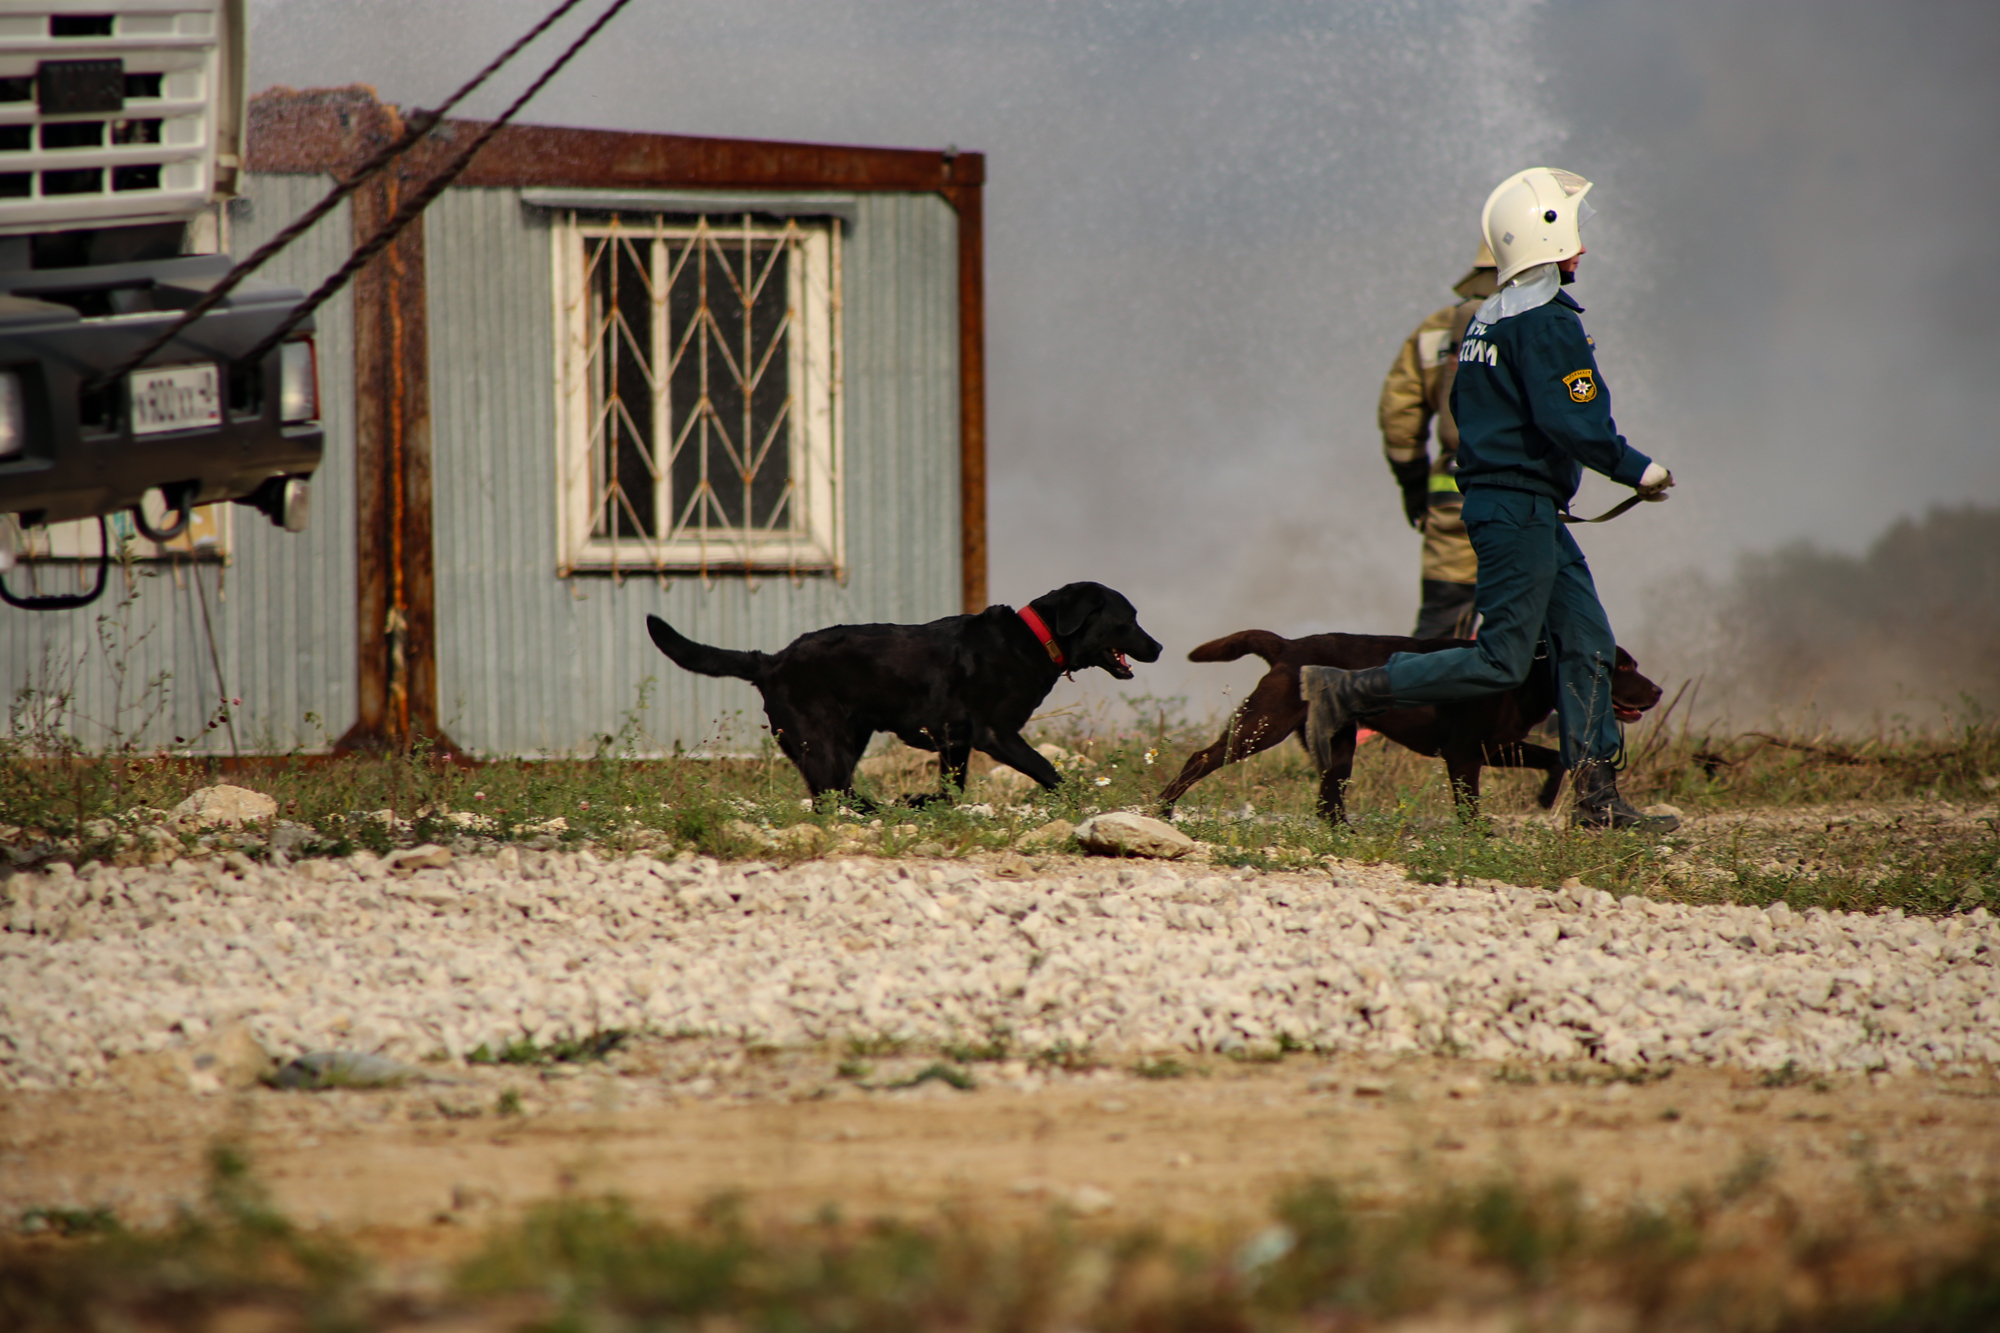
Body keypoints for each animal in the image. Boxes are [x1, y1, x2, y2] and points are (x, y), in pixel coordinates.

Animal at [648, 580, 1168, 800]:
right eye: (1129, 619)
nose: (1160, 646)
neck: (1036, 639)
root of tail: (772, 659)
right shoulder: (996, 734)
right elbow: (1049, 770)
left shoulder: (955, 742)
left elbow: (952, 790)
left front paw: (926, 801)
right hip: (824, 744)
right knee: (836, 794)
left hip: (844, 741)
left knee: (832, 795)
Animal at [1160, 624, 1656, 820]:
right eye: (1621, 668)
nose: (1657, 692)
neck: (1530, 672)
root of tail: (1287, 645)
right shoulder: (1464, 755)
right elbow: (1470, 807)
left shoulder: (1495, 747)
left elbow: (1553, 758)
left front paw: (1546, 797)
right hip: (1263, 726)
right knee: (1199, 758)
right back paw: (1163, 808)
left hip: (1337, 746)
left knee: (1328, 802)